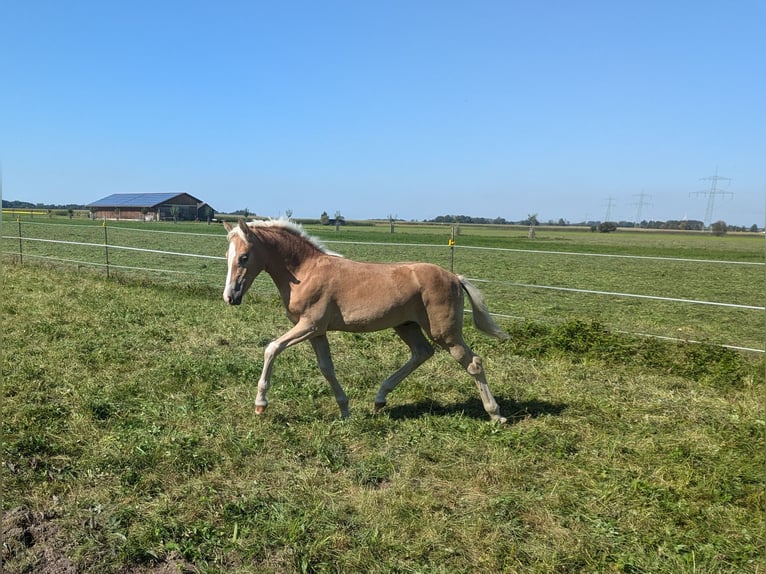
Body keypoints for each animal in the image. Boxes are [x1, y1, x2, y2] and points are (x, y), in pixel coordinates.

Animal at [222, 219, 510, 424]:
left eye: (244, 257)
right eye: (227, 256)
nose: (230, 297)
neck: (305, 272)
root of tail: (454, 277)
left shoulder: (309, 325)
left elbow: (272, 348)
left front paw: (260, 404)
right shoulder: (317, 332)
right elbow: (327, 368)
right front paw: (345, 409)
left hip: (445, 332)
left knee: (473, 362)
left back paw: (496, 414)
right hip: (407, 326)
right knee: (422, 353)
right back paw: (379, 400)